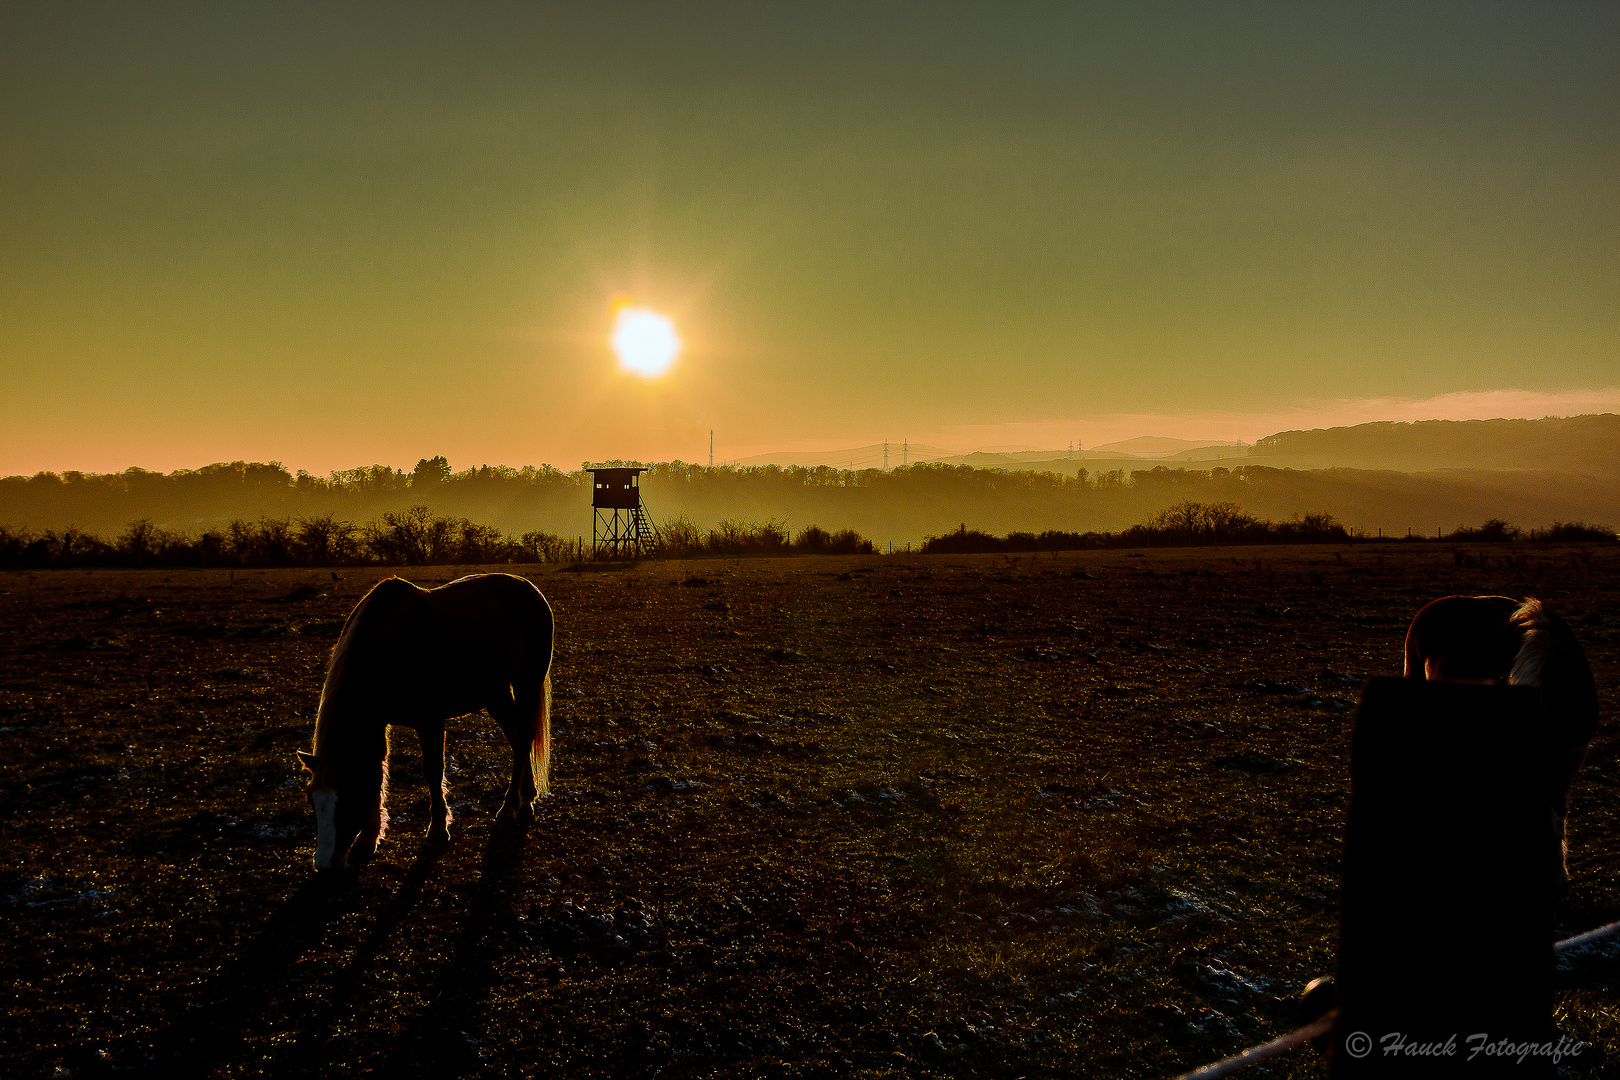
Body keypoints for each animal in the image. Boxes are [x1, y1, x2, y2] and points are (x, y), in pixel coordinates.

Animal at [298, 573, 557, 867]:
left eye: (347, 798)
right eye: (311, 800)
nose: (324, 864)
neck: (393, 648)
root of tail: (529, 589)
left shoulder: (429, 720)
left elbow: (432, 770)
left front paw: (437, 830)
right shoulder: (376, 721)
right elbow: (376, 771)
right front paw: (368, 839)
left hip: (528, 682)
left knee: (523, 740)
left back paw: (509, 809)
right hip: (496, 693)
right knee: (516, 738)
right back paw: (527, 797)